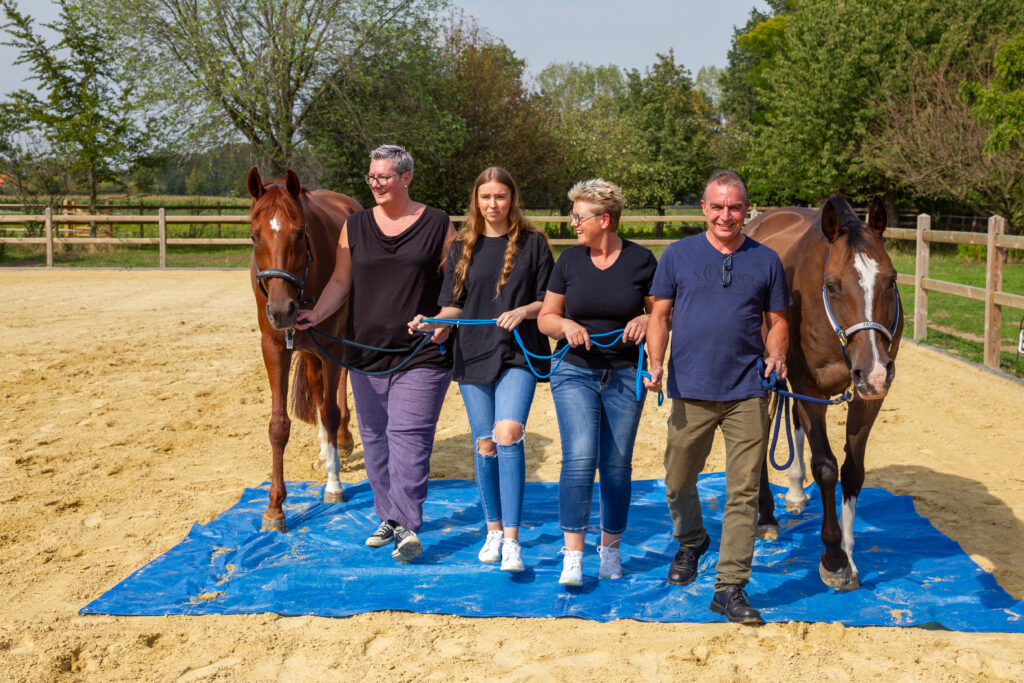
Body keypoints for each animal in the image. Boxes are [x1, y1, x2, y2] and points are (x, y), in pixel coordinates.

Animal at [245, 166, 362, 532]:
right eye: (253, 236)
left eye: (299, 233)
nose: (281, 310)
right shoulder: (274, 348)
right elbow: (278, 426)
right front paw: (274, 508)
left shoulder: (332, 342)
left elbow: (331, 411)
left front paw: (334, 485)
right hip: (309, 351)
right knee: (316, 387)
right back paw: (326, 449)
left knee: (338, 390)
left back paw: (342, 440)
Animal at [745, 194, 905, 589]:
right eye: (831, 286)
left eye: (891, 280)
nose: (875, 369)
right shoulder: (808, 388)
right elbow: (827, 468)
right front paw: (833, 557)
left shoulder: (869, 398)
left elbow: (853, 470)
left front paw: (849, 554)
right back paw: (766, 515)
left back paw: (794, 492)